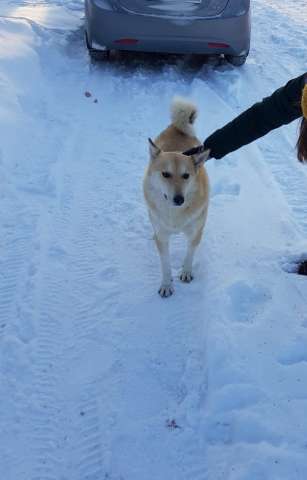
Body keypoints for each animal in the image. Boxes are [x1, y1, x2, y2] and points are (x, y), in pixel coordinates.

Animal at [143, 97, 211, 296]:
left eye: (186, 176)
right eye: (165, 174)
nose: (179, 199)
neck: (175, 215)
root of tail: (178, 126)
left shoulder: (195, 232)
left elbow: (189, 254)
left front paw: (186, 272)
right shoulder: (163, 236)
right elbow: (165, 264)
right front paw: (166, 285)